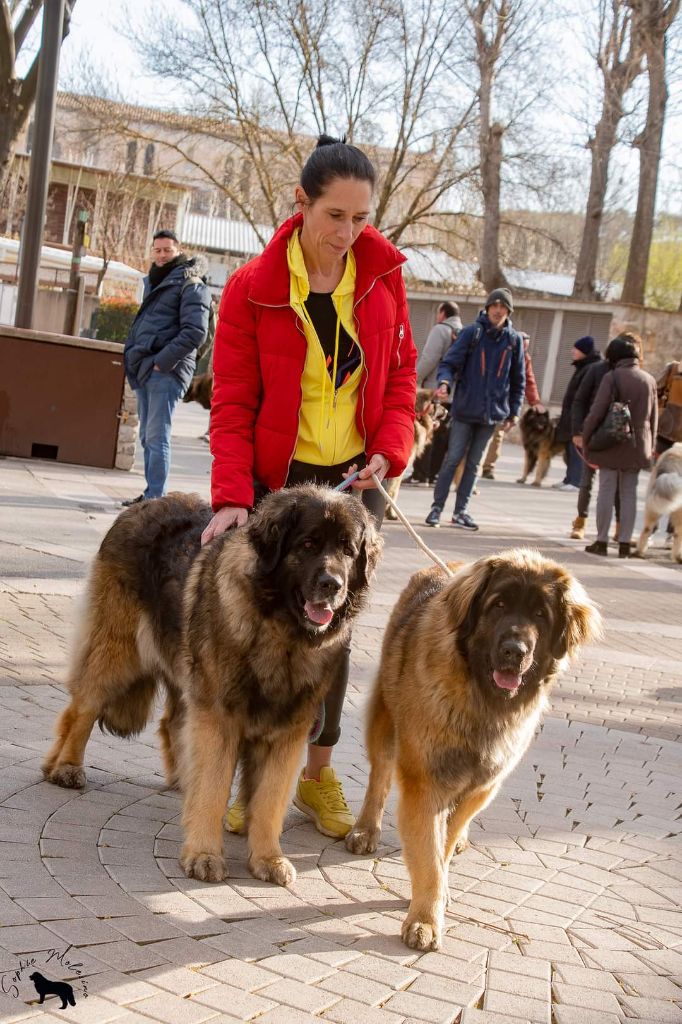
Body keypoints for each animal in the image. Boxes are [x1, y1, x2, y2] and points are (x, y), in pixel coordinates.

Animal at [43, 487, 378, 888]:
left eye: (348, 550)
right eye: (308, 544)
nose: (332, 585)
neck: (280, 633)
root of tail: (143, 505)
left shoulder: (287, 732)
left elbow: (269, 800)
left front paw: (267, 858)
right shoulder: (219, 716)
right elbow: (215, 787)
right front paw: (204, 854)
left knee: (168, 722)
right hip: (118, 650)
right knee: (82, 708)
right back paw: (66, 766)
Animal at [346, 548, 602, 954]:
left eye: (541, 615)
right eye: (498, 605)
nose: (514, 650)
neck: (481, 700)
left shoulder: (484, 783)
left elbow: (445, 842)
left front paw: (438, 889)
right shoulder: (425, 783)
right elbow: (430, 858)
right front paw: (425, 918)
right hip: (385, 720)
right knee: (380, 777)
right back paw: (365, 830)